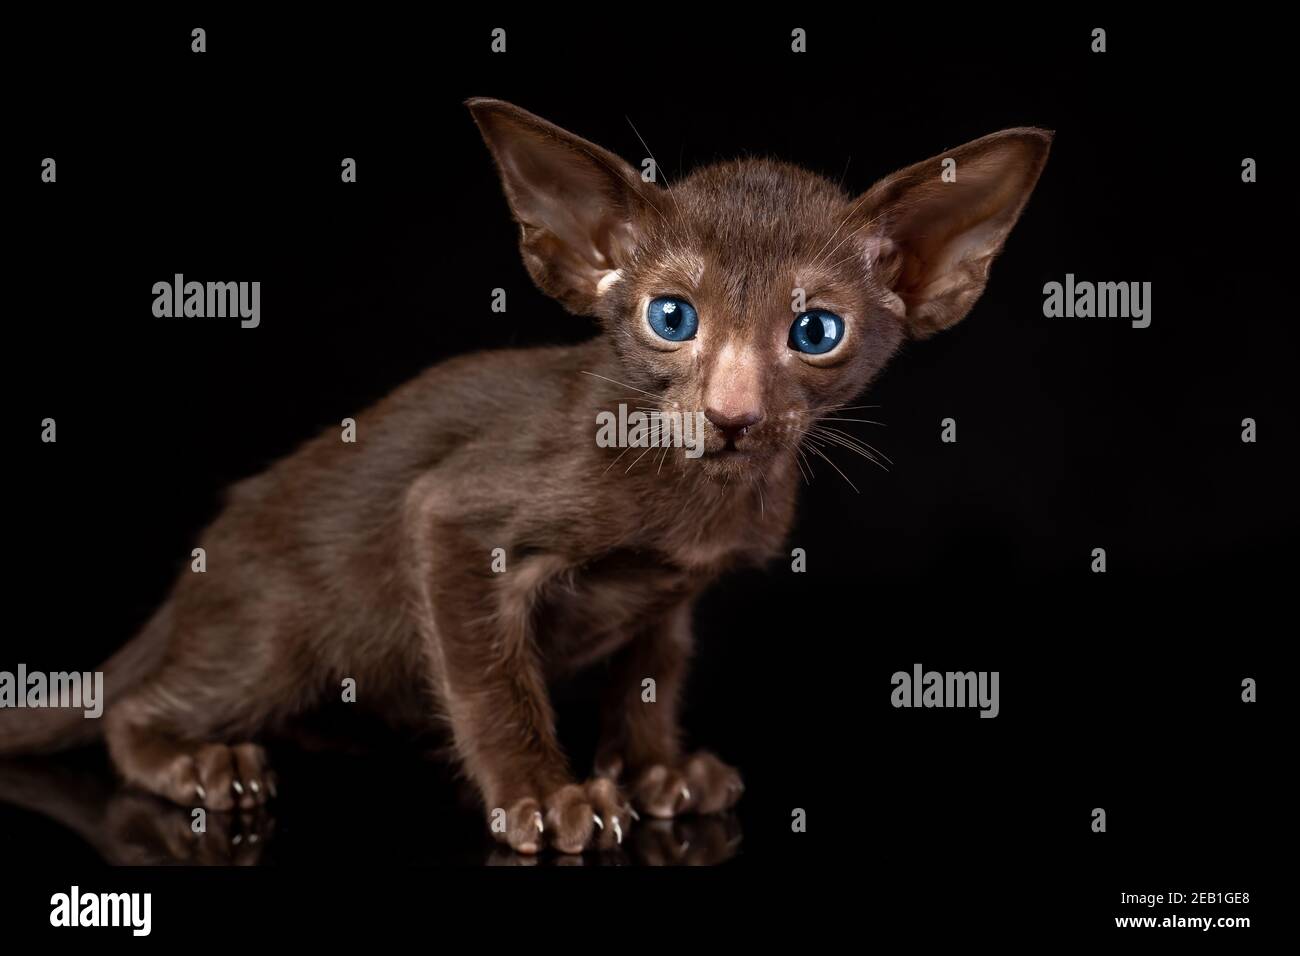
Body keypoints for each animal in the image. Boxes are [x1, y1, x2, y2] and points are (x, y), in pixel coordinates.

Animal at [0, 100, 1050, 858]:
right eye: (672, 317)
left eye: (816, 331)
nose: (733, 413)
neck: (692, 495)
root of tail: (204, 560)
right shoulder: (456, 520)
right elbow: (490, 680)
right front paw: (544, 796)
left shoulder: (670, 597)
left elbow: (653, 678)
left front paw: (657, 775)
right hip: (276, 639)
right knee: (135, 708)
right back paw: (196, 766)